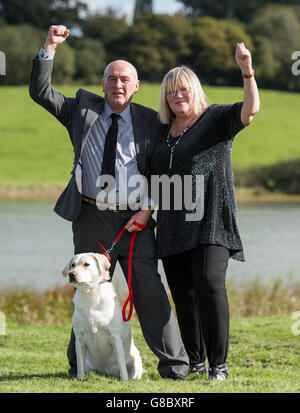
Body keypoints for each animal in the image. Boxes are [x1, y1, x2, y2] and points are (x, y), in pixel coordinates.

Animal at [61, 253, 142, 382]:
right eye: (72, 265)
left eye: (86, 264)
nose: (71, 274)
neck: (90, 293)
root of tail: (108, 373)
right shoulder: (79, 338)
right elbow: (79, 362)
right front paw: (80, 378)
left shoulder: (115, 337)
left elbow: (121, 363)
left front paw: (124, 380)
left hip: (136, 363)